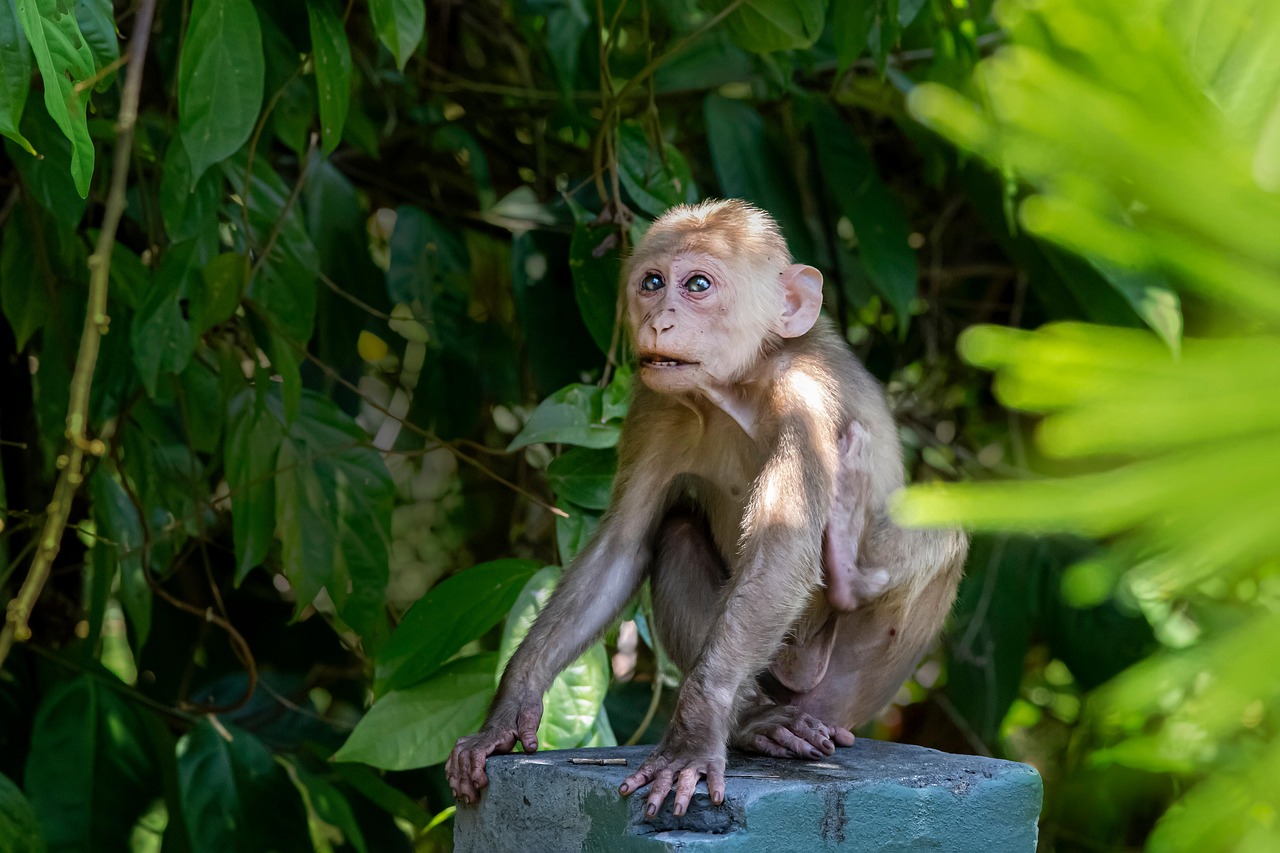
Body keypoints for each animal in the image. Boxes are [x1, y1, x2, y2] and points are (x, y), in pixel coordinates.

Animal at [445, 199, 962, 819]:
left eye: (697, 285)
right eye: (652, 283)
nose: (659, 320)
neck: (737, 390)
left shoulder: (807, 399)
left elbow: (782, 550)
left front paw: (693, 733)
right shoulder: (654, 406)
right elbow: (624, 544)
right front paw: (510, 702)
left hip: (845, 690)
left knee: (943, 536)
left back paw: (850, 578)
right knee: (677, 536)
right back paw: (757, 722)